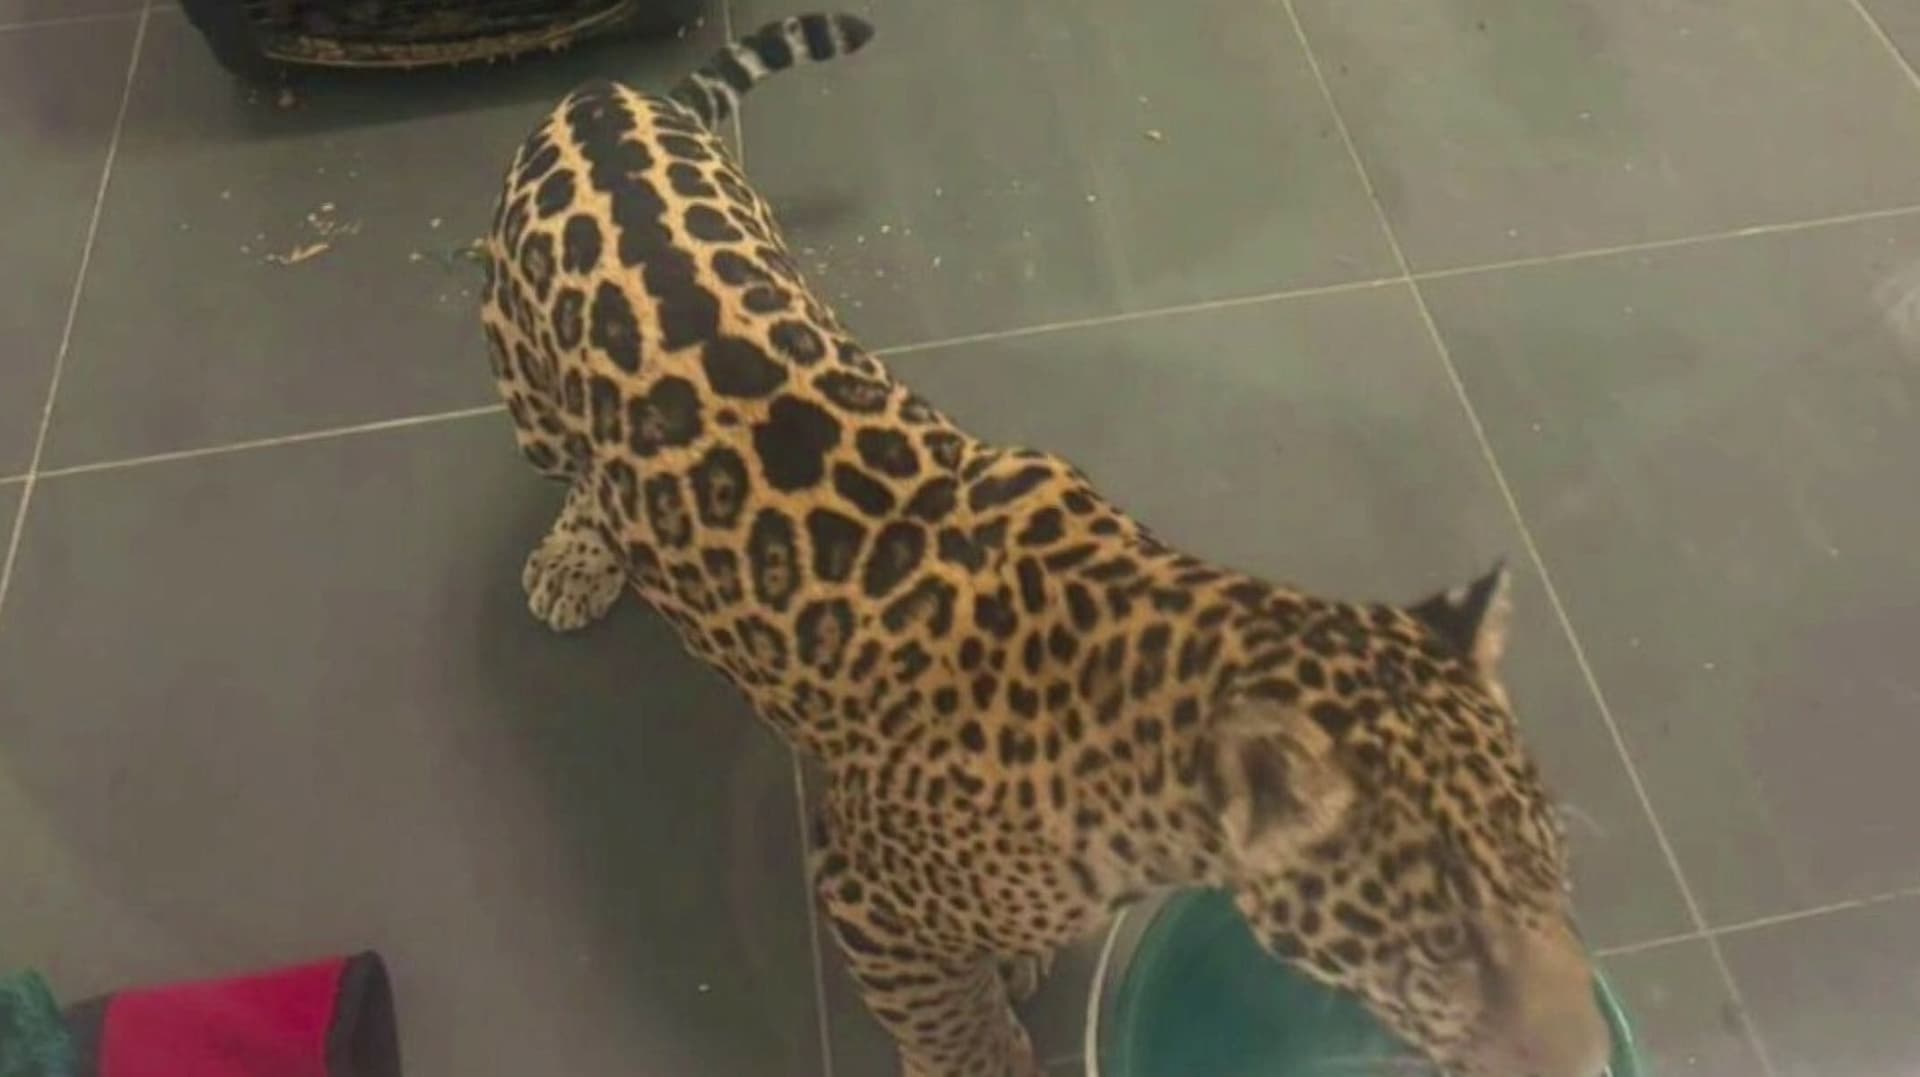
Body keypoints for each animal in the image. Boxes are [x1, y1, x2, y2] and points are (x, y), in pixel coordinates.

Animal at [478, 13, 1611, 1077]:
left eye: (1557, 877)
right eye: (1450, 946)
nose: (1589, 1058)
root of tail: (607, 97)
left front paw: (1014, 960)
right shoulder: (864, 895)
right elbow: (947, 1023)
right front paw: (983, 1045)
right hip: (527, 398)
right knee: (575, 471)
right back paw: (578, 557)